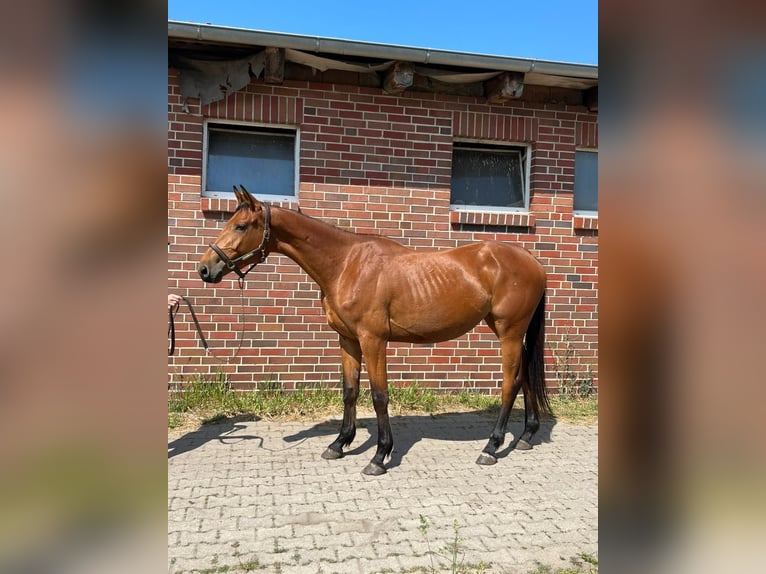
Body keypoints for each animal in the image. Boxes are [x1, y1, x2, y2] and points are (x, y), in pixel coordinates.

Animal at [198, 188, 552, 476]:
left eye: (240, 226)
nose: (205, 268)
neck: (345, 264)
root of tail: (532, 261)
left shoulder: (373, 340)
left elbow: (379, 396)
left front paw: (380, 456)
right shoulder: (348, 340)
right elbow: (350, 392)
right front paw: (339, 444)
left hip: (509, 332)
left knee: (510, 384)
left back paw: (491, 447)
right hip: (510, 332)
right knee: (525, 377)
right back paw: (526, 436)